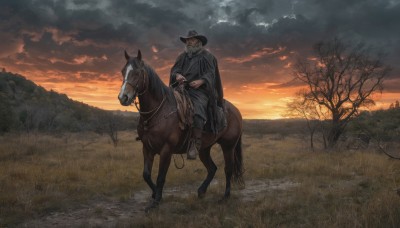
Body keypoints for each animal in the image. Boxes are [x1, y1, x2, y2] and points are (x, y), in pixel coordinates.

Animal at [117, 50, 245, 210]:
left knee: (228, 169)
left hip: (228, 146)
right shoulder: (147, 148)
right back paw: (201, 191)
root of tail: (236, 111)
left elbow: (160, 177)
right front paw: (155, 194)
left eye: (138, 73)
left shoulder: (166, 150)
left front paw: (156, 201)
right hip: (204, 149)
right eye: (123, 71)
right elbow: (146, 175)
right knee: (212, 168)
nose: (123, 97)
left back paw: (225, 196)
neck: (158, 112)